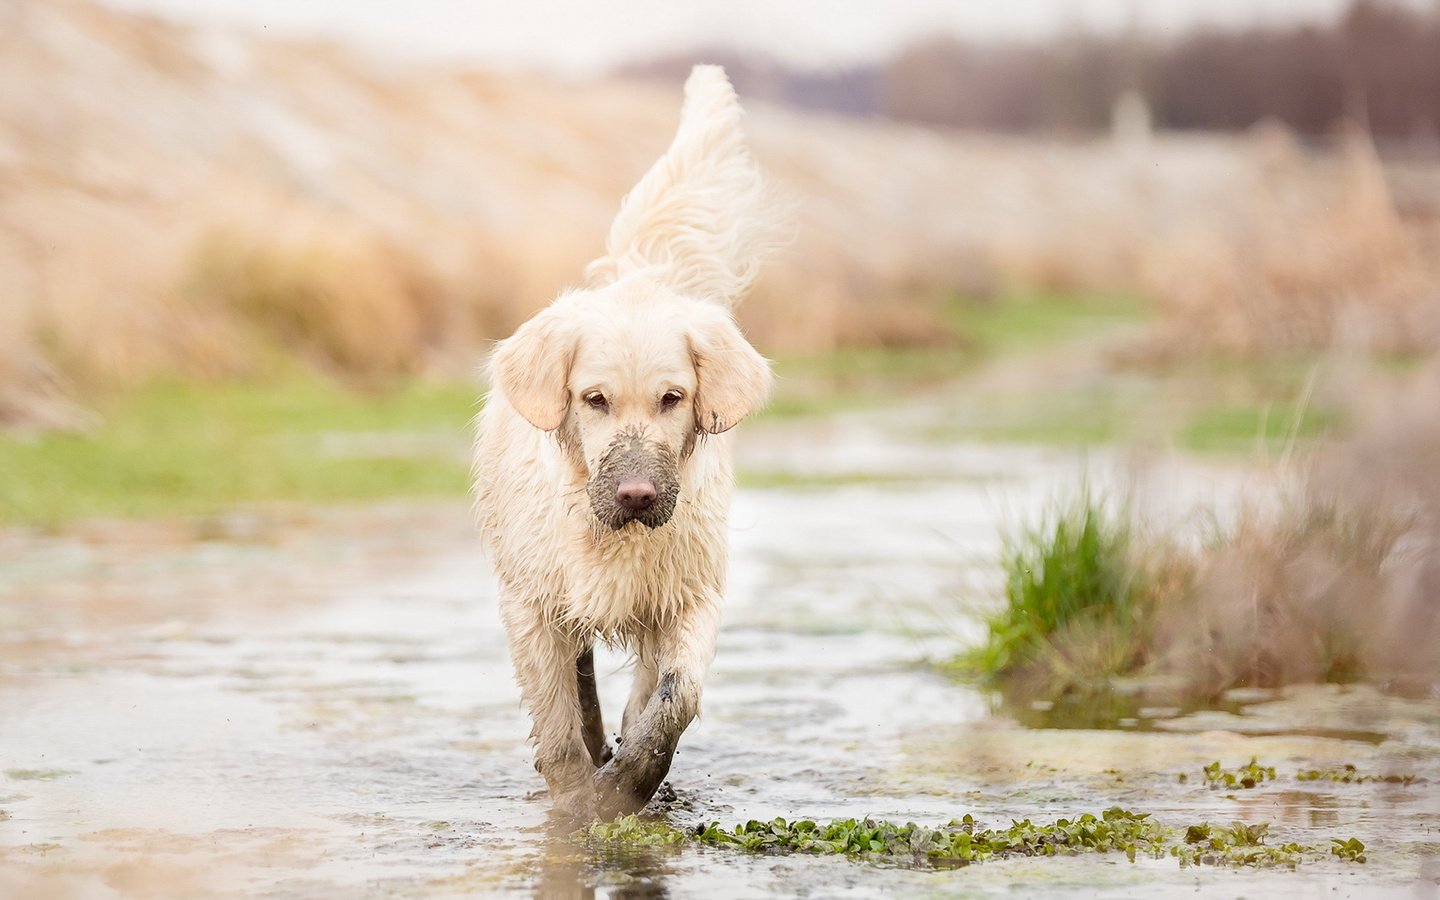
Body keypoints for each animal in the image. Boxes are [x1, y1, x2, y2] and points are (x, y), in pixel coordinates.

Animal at [475, 66, 777, 817]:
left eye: (673, 399)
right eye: (594, 400)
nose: (638, 495)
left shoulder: (689, 595)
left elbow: (672, 698)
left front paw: (627, 786)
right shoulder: (531, 606)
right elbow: (558, 729)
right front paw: (576, 807)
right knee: (580, 683)